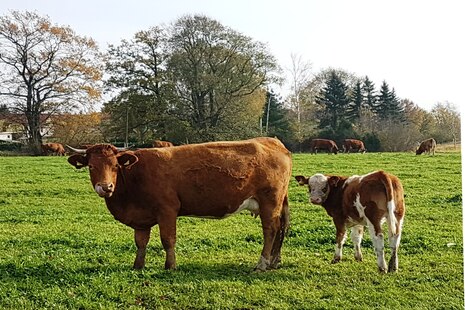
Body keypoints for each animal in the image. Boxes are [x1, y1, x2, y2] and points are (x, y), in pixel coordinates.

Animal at [67, 138, 292, 272]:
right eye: (91, 166)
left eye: (115, 165)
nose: (106, 187)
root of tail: (270, 140)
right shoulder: (141, 217)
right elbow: (141, 242)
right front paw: (138, 266)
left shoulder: (167, 210)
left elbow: (168, 240)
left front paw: (170, 266)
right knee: (280, 228)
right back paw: (274, 261)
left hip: (269, 202)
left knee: (270, 230)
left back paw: (262, 264)